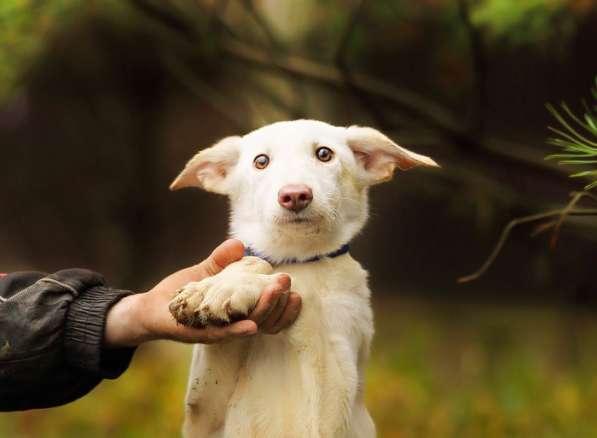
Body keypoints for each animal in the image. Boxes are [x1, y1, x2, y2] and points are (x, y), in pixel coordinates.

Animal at [169, 120, 438, 438]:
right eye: (261, 161)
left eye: (324, 154)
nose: (295, 195)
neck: (299, 258)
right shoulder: (203, 417)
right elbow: (254, 260)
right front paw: (213, 287)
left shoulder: (332, 408)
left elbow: (288, 279)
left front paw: (234, 286)